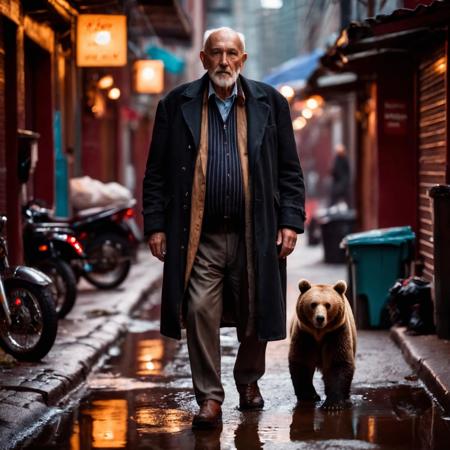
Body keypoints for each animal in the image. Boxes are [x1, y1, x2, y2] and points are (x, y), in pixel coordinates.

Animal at [288, 280, 358, 410]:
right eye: (313, 304)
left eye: (328, 305)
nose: (320, 318)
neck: (319, 333)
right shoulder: (304, 334)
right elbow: (302, 362)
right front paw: (309, 395)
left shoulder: (336, 333)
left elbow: (338, 363)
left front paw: (332, 404)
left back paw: (345, 396)